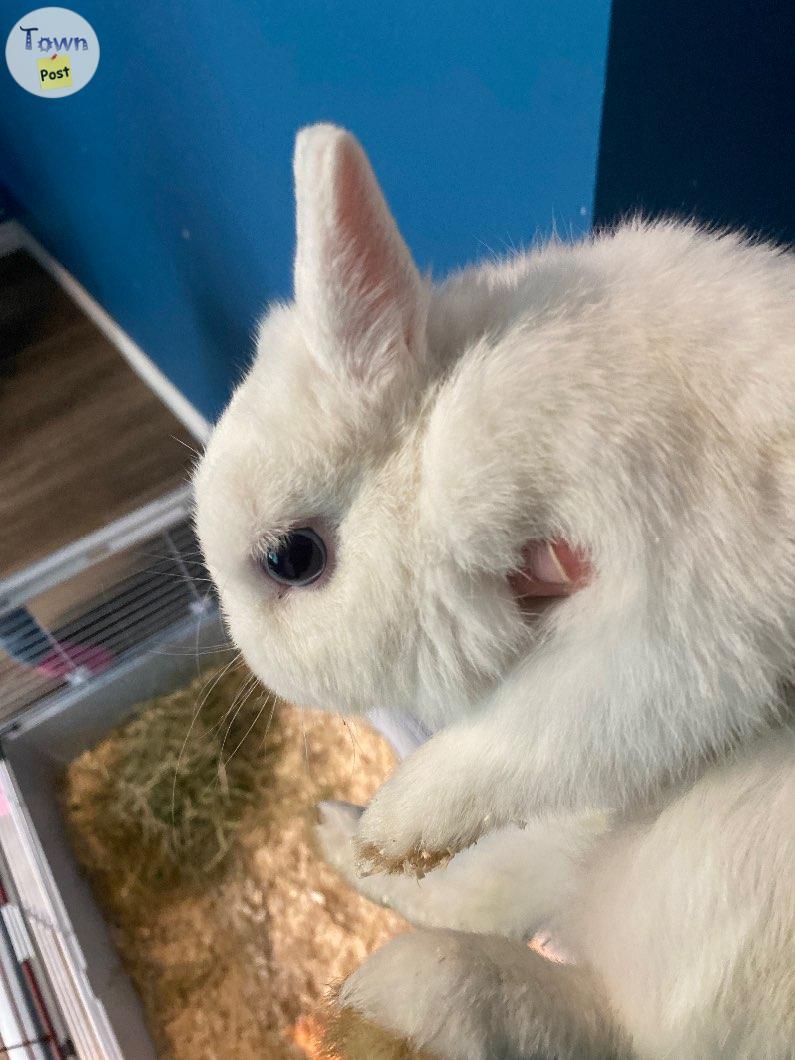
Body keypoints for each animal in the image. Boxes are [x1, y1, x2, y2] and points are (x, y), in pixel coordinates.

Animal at [195, 126, 795, 1060]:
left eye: (293, 558)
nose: (264, 671)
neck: (439, 432)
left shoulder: (681, 622)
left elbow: (532, 732)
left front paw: (398, 823)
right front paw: (375, 840)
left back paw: (377, 954)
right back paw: (352, 889)